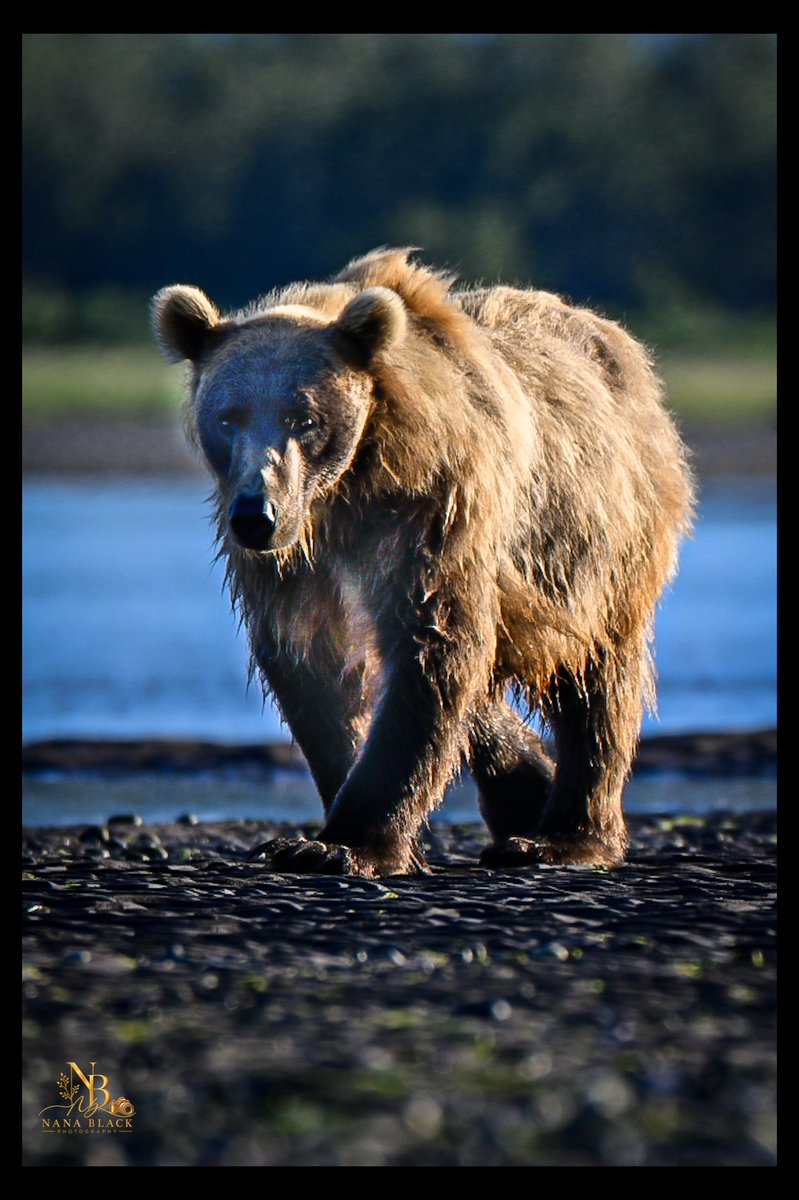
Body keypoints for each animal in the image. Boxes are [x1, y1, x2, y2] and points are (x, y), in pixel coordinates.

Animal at [152, 248, 694, 878]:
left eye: (303, 418)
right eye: (228, 417)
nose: (255, 515)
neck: (346, 492)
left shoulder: (434, 508)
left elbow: (430, 645)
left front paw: (342, 843)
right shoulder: (294, 565)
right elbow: (310, 662)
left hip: (598, 543)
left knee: (598, 679)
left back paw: (565, 835)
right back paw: (525, 789)